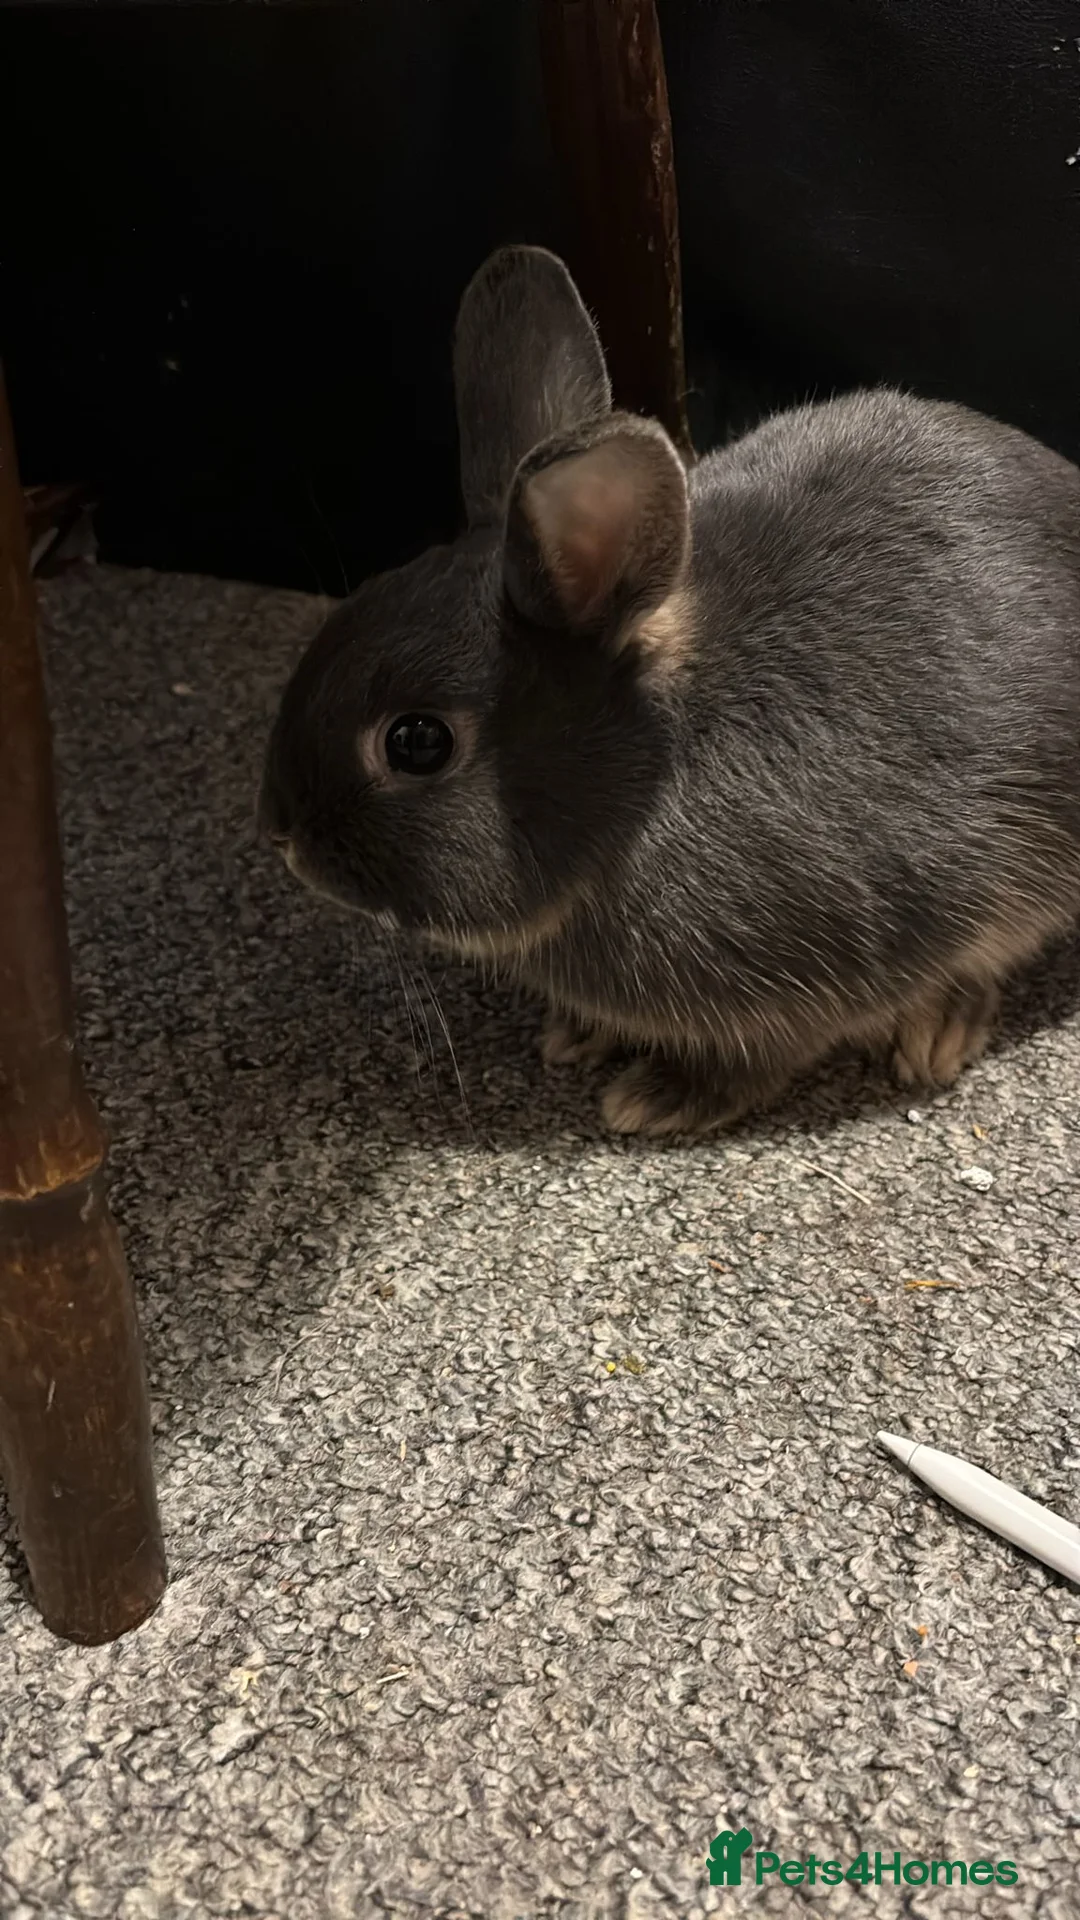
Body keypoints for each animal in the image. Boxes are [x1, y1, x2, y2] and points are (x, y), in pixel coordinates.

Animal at [260, 244, 1080, 1135]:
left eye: (417, 742)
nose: (283, 838)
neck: (643, 785)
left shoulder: (819, 976)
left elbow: (759, 1061)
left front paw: (653, 1099)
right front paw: (576, 1035)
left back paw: (937, 1034)